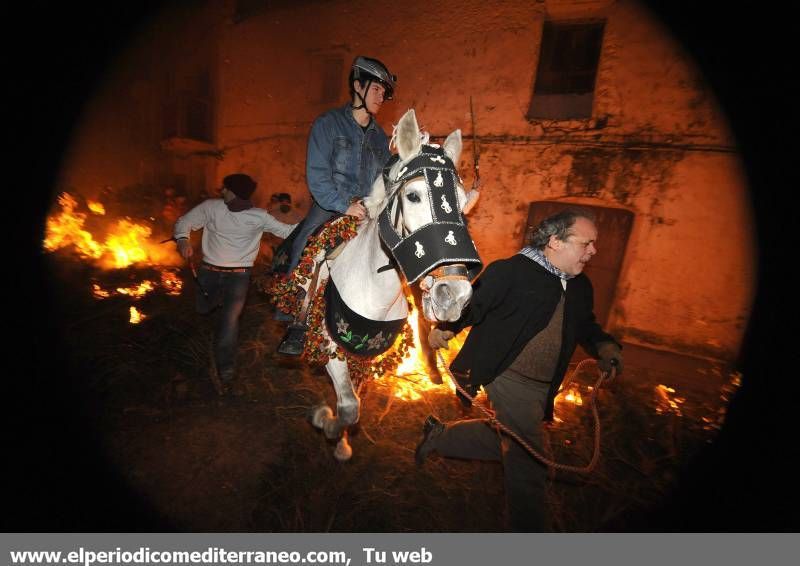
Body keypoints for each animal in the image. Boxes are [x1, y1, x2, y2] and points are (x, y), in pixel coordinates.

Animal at [296, 110, 478, 462]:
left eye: (463, 203)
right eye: (413, 196)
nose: (455, 296)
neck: (372, 288)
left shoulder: (364, 353)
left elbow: (354, 399)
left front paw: (341, 441)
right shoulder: (332, 343)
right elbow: (349, 406)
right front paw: (324, 421)